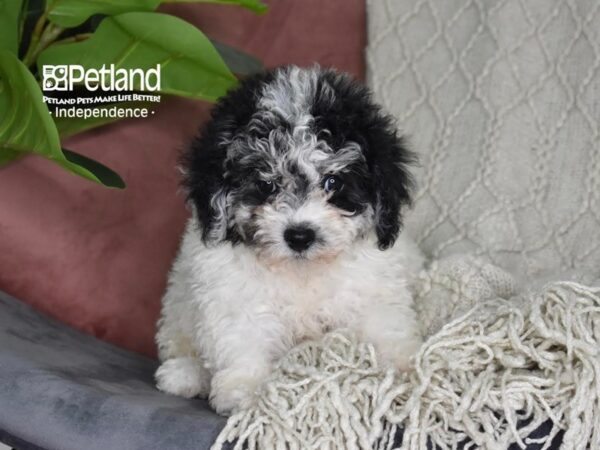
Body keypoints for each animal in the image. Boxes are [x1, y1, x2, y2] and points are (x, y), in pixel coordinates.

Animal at [156, 66, 426, 414]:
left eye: (332, 182)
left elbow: (385, 325)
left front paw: (405, 368)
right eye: (265, 184)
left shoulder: (372, 289)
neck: (302, 270)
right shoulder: (233, 295)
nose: (299, 235)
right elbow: (243, 337)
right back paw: (184, 374)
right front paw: (245, 390)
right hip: (179, 306)